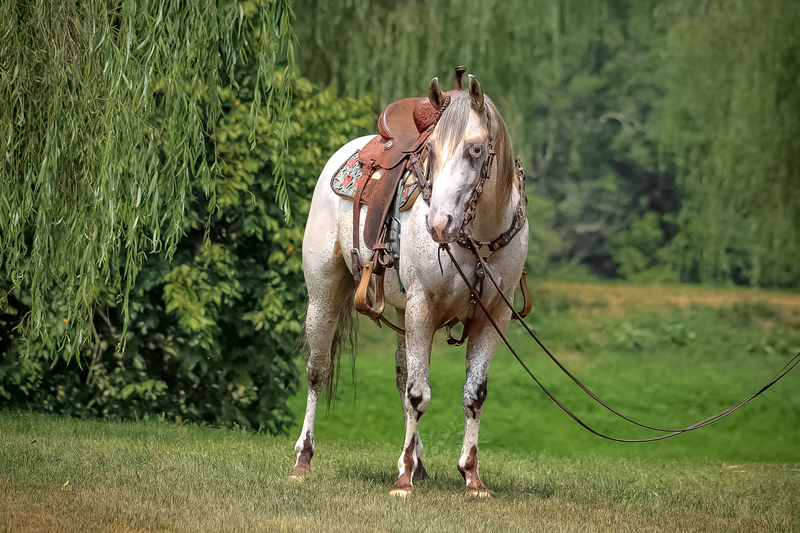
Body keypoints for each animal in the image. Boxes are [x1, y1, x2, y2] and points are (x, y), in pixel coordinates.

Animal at [290, 72, 528, 496]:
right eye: (429, 150)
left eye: (476, 148)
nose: (438, 223)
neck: (479, 238)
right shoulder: (423, 308)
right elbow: (419, 394)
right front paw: (403, 481)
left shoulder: (493, 318)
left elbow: (473, 395)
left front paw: (471, 477)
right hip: (323, 295)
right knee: (318, 371)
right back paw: (304, 460)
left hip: (403, 315)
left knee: (403, 377)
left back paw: (417, 462)